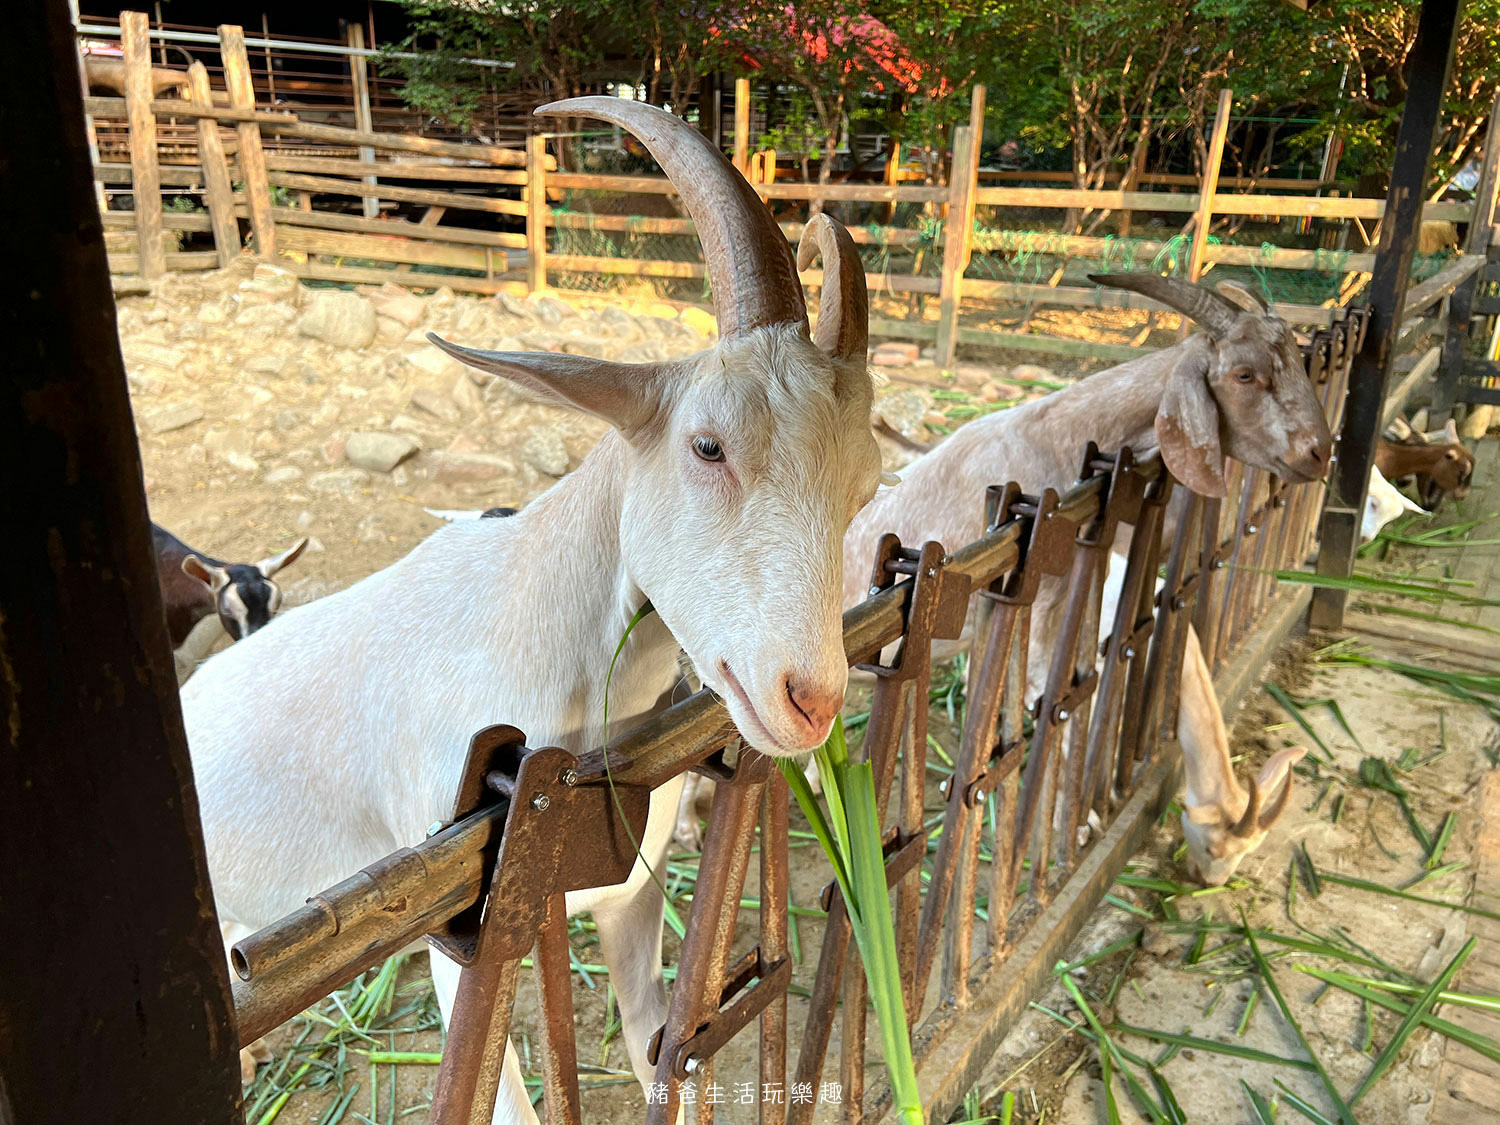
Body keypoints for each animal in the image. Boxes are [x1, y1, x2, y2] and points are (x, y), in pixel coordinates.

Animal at [181, 101, 876, 1122]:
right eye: (708, 445)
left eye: (864, 484)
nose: (811, 698)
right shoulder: (459, 946)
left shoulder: (633, 904)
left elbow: (662, 1048)